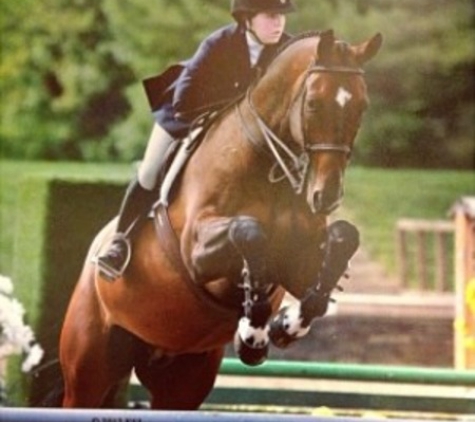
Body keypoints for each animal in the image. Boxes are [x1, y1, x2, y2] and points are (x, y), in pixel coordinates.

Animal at [59, 29, 384, 408]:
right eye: (314, 103)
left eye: (362, 106)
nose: (326, 196)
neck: (266, 163)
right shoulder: (196, 255)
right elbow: (249, 233)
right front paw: (254, 333)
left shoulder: (298, 265)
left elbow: (342, 241)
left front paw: (285, 325)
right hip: (88, 368)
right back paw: (114, 254)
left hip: (182, 378)